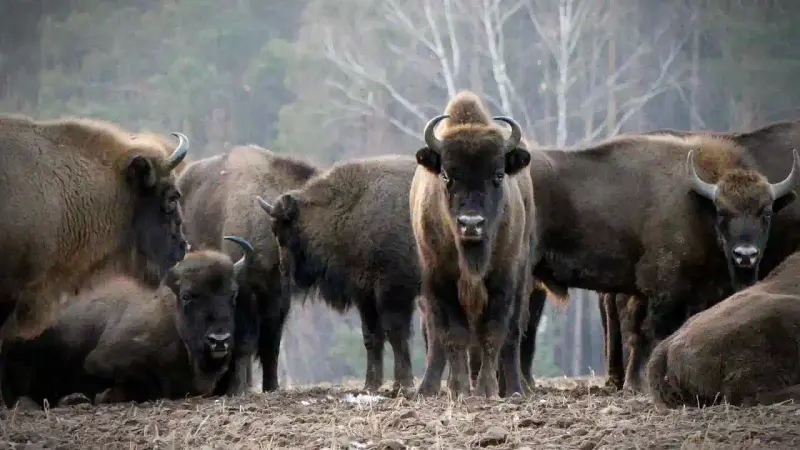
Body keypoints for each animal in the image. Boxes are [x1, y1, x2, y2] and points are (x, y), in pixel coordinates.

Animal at [0, 238, 251, 407]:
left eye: (233, 294)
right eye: (187, 295)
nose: (219, 340)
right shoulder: (102, 359)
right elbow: (151, 383)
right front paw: (104, 395)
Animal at [177, 145, 320, 393]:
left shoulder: (277, 295)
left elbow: (271, 344)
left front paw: (271, 386)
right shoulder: (244, 291)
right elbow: (245, 341)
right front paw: (238, 388)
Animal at [257, 155, 420, 391]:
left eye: (284, 232)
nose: (283, 269)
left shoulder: (393, 290)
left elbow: (396, 333)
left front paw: (403, 385)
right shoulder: (365, 294)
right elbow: (371, 336)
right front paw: (370, 385)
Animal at [411, 91, 534, 398]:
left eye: (498, 175)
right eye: (446, 176)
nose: (471, 224)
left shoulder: (503, 277)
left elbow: (493, 333)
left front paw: (486, 390)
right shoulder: (440, 278)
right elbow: (454, 335)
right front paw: (460, 389)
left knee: (512, 335)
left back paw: (515, 389)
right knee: (437, 338)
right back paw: (428, 388)